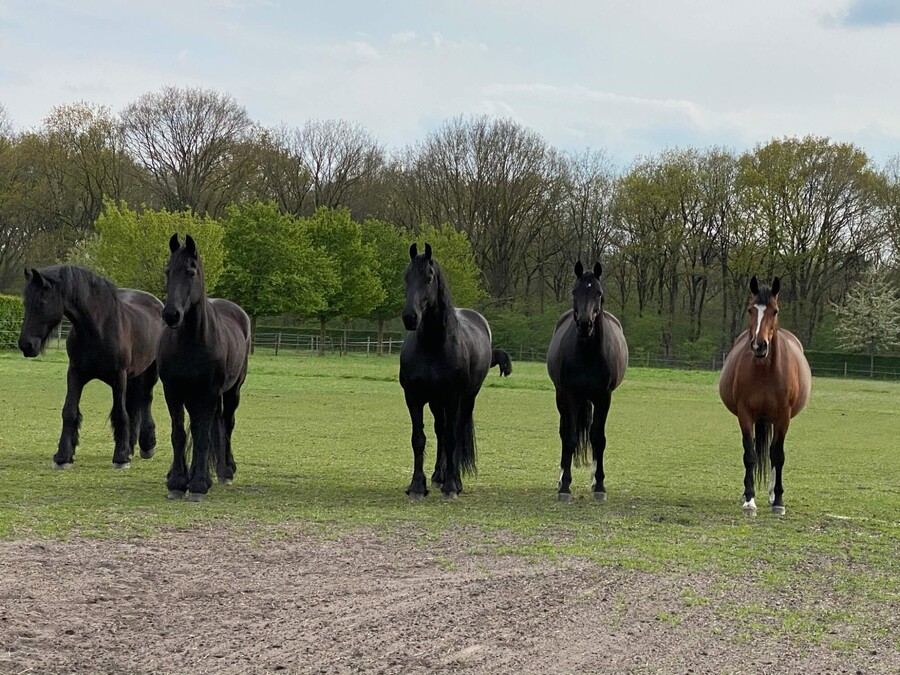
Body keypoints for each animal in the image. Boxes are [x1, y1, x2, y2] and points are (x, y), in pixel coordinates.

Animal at [17, 266, 164, 470]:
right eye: (25, 303)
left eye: (42, 302)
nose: (26, 345)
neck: (98, 328)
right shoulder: (75, 374)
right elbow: (69, 411)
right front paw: (63, 456)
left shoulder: (119, 377)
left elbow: (120, 414)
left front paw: (120, 458)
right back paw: (130, 447)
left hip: (150, 371)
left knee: (145, 400)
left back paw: (146, 446)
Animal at [157, 234, 250, 502]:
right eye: (167, 271)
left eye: (190, 272)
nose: (171, 315)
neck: (191, 342)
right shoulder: (173, 392)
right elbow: (179, 434)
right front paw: (177, 482)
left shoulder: (207, 394)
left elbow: (202, 436)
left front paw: (198, 484)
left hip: (231, 392)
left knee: (226, 424)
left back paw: (226, 470)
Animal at [400, 246, 512, 500]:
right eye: (406, 277)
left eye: (429, 278)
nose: (410, 317)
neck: (432, 345)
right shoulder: (414, 398)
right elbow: (418, 439)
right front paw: (417, 486)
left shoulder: (452, 397)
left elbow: (452, 438)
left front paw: (452, 485)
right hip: (436, 401)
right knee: (440, 431)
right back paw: (438, 475)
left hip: (467, 398)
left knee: (456, 433)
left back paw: (454, 479)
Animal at [548, 262, 624, 502]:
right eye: (575, 291)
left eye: (598, 293)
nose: (584, 324)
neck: (589, 353)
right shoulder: (570, 395)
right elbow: (570, 438)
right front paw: (565, 486)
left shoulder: (603, 397)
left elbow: (598, 438)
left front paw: (599, 485)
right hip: (561, 397)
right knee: (564, 433)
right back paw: (561, 478)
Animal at [720, 274, 812, 516]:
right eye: (751, 310)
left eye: (775, 311)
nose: (759, 346)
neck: (765, 370)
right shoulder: (745, 414)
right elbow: (750, 454)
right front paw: (749, 499)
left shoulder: (783, 417)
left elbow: (777, 455)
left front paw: (778, 500)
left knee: (772, 454)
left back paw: (771, 496)